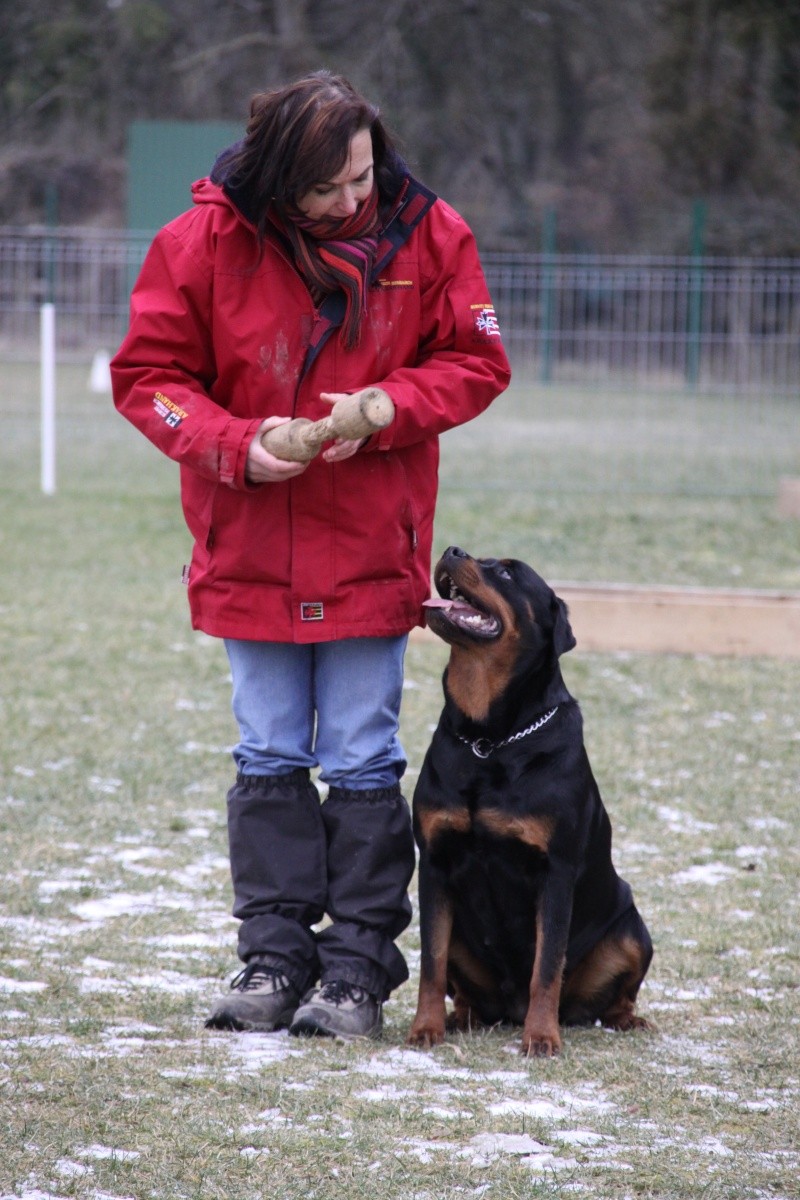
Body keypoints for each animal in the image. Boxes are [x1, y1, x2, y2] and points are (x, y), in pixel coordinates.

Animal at [410, 549, 652, 1056]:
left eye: (505, 571)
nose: (453, 550)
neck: (490, 737)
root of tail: (508, 1009)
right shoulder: (435, 862)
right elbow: (431, 960)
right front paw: (425, 1028)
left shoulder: (554, 871)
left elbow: (547, 965)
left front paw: (541, 1037)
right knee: (464, 987)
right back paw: (460, 1017)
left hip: (632, 930)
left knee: (615, 994)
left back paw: (626, 1021)